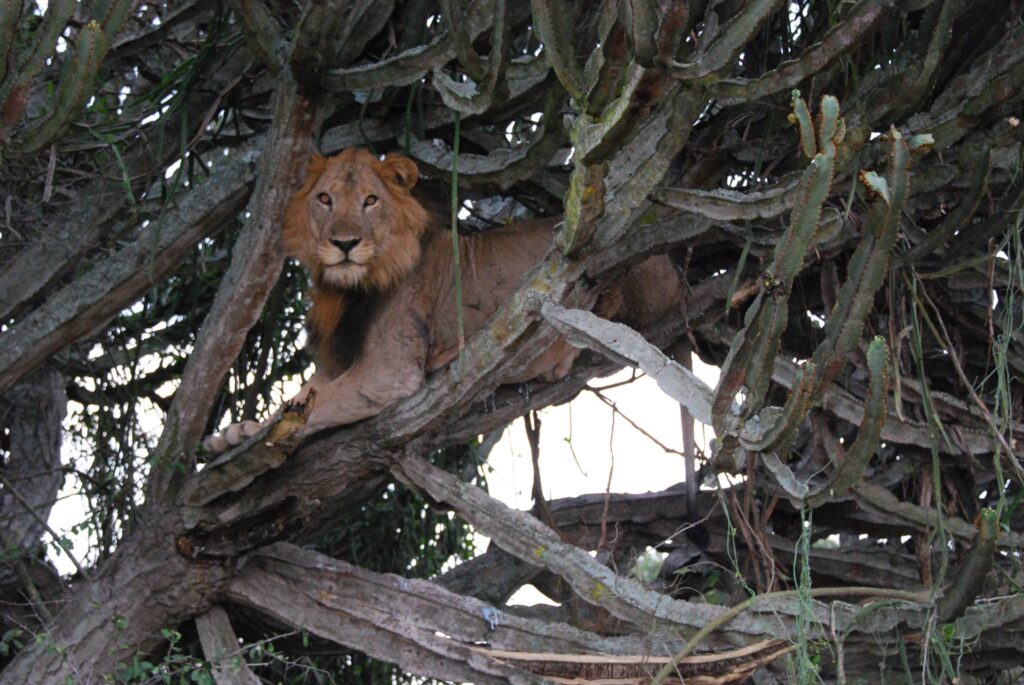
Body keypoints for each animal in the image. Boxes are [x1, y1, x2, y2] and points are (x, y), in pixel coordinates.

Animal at [201, 147, 679, 450]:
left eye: (370, 201)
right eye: (324, 199)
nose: (344, 243)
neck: (349, 289)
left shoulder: (387, 373)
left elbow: (314, 403)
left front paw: (253, 433)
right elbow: (302, 395)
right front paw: (237, 432)